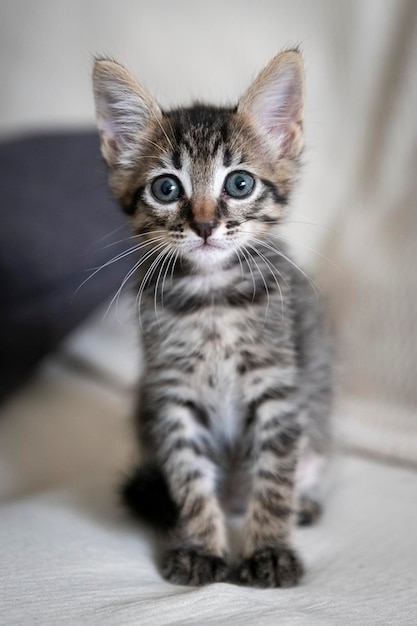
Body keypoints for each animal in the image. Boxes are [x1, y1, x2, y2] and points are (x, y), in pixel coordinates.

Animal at [92, 51, 330, 588]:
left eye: (239, 183)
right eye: (166, 188)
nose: (203, 225)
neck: (212, 299)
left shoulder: (278, 388)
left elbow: (274, 477)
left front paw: (269, 551)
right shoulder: (173, 394)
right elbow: (189, 475)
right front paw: (200, 546)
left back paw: (303, 504)